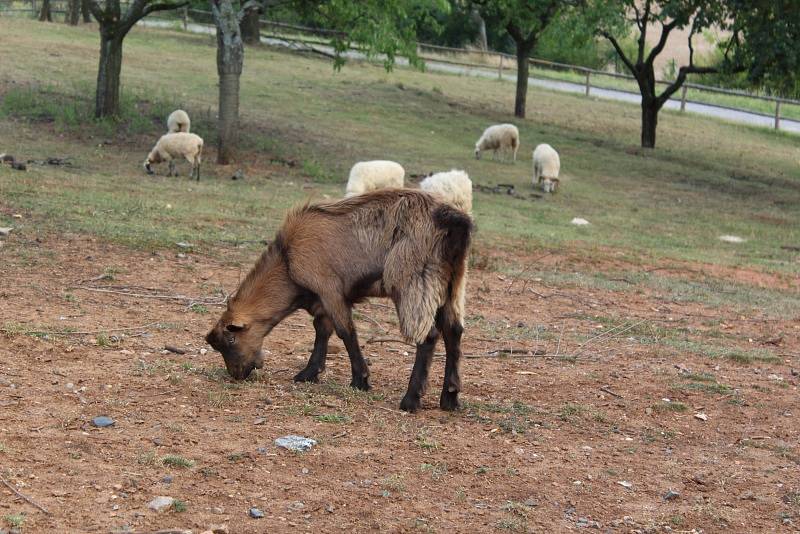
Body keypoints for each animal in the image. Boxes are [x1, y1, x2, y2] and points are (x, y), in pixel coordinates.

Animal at [203, 189, 476, 414]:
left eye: (230, 339)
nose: (237, 374)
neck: (287, 263)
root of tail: (452, 220)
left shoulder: (330, 290)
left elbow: (346, 332)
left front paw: (360, 380)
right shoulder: (322, 301)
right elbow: (322, 330)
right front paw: (309, 373)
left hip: (413, 281)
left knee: (428, 336)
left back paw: (411, 400)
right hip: (452, 284)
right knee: (453, 332)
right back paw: (450, 398)